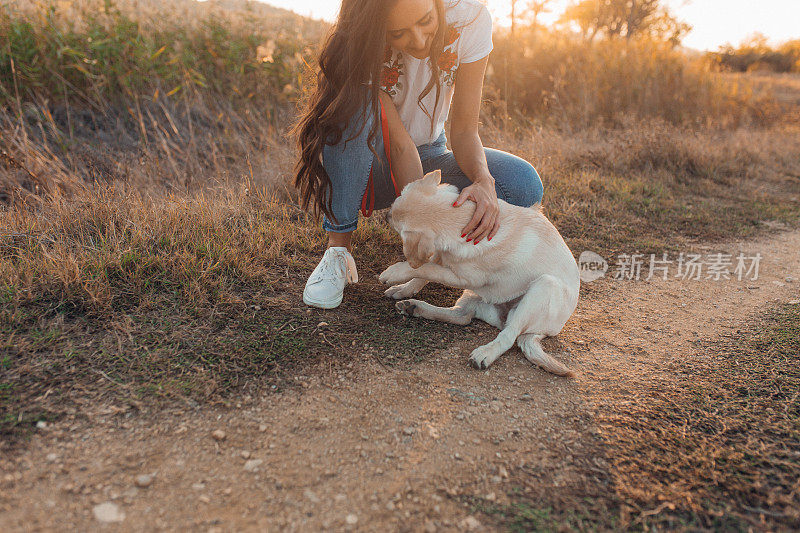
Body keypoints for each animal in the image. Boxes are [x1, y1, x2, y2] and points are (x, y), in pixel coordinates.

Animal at [378, 170, 580, 374]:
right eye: (398, 197)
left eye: (397, 226)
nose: (386, 215)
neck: (459, 217)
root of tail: (540, 332)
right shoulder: (442, 255)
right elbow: (421, 273)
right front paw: (403, 289)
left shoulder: (463, 278)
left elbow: (425, 269)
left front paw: (394, 273)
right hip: (473, 297)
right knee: (463, 316)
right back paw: (414, 307)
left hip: (545, 286)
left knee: (509, 334)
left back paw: (486, 354)